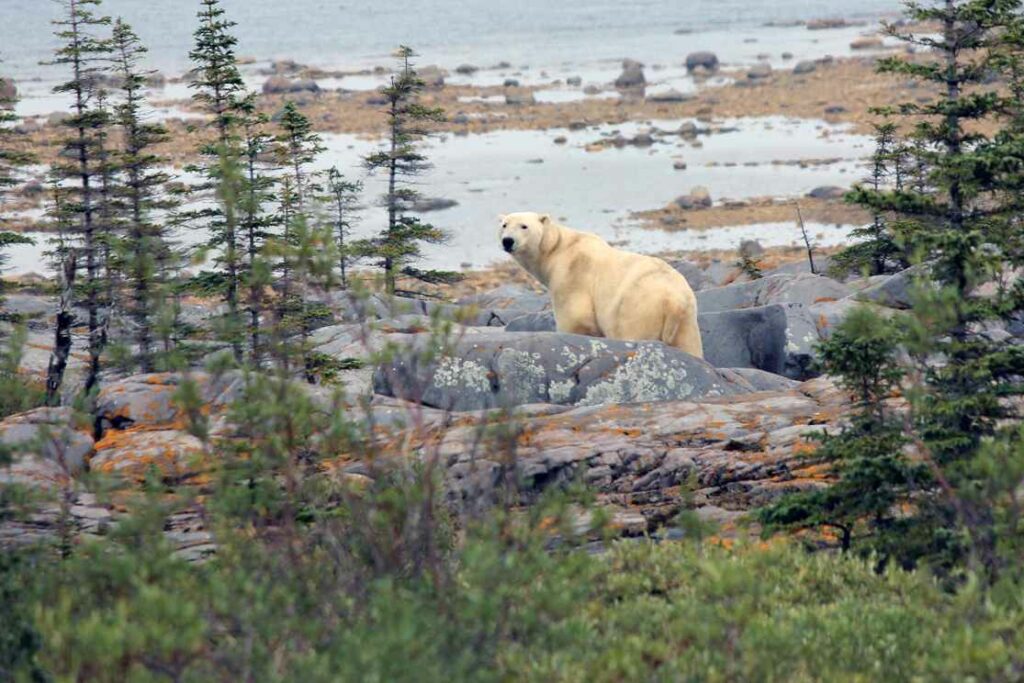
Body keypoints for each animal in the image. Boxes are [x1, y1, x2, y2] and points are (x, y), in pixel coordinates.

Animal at [497, 211, 704, 358]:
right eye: (504, 225)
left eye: (524, 226)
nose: (507, 241)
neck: (557, 248)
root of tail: (674, 301)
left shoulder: (572, 275)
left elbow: (576, 317)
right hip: (687, 321)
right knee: (690, 347)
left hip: (638, 309)